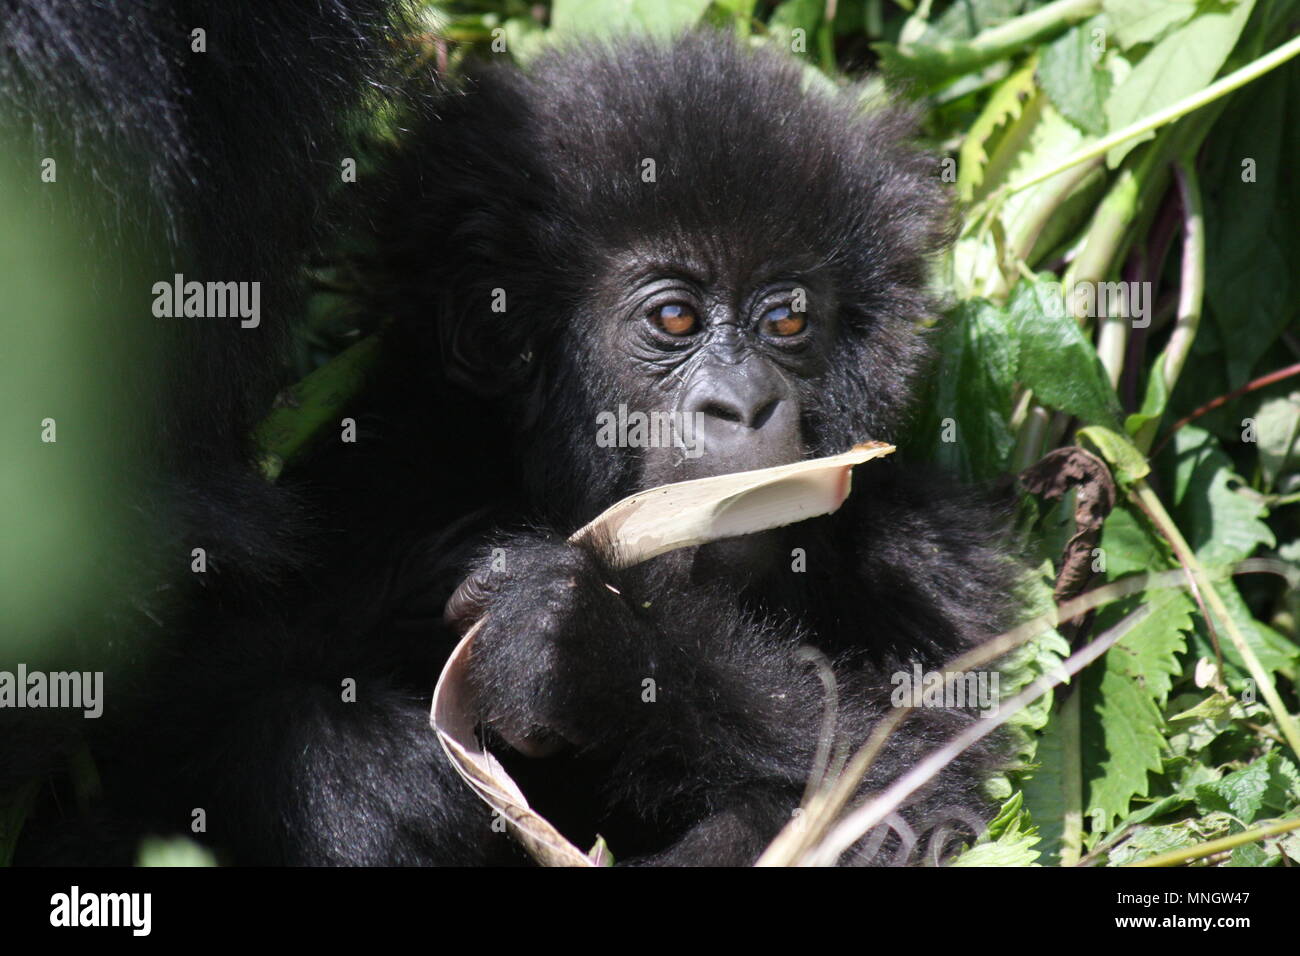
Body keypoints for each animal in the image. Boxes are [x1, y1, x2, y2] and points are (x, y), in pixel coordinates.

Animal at [351, 31, 1019, 868]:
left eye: (787, 321)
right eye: (674, 318)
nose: (745, 404)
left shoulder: (932, 551)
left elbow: (925, 792)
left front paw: (588, 649)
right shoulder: (387, 475)